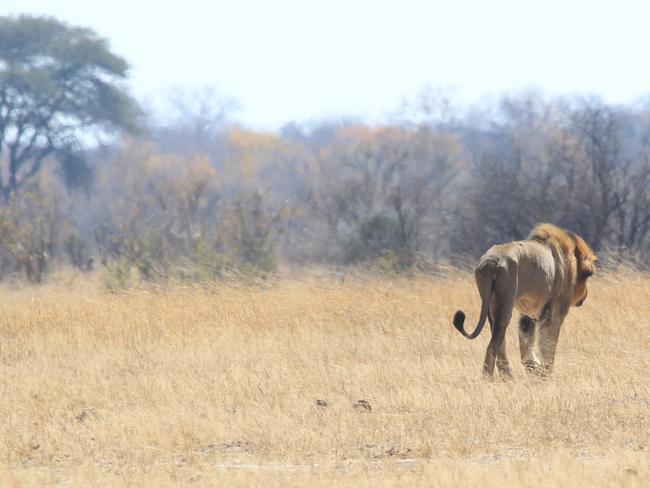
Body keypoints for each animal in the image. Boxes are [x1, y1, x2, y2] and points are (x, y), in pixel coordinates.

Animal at [450, 223, 592, 380]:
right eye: (588, 275)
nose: (585, 295)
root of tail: (491, 262)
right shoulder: (555, 313)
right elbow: (548, 345)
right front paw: (544, 374)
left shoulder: (529, 314)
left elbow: (526, 344)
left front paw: (533, 367)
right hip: (505, 304)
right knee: (492, 346)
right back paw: (490, 379)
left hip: (491, 307)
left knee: (500, 343)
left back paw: (508, 377)